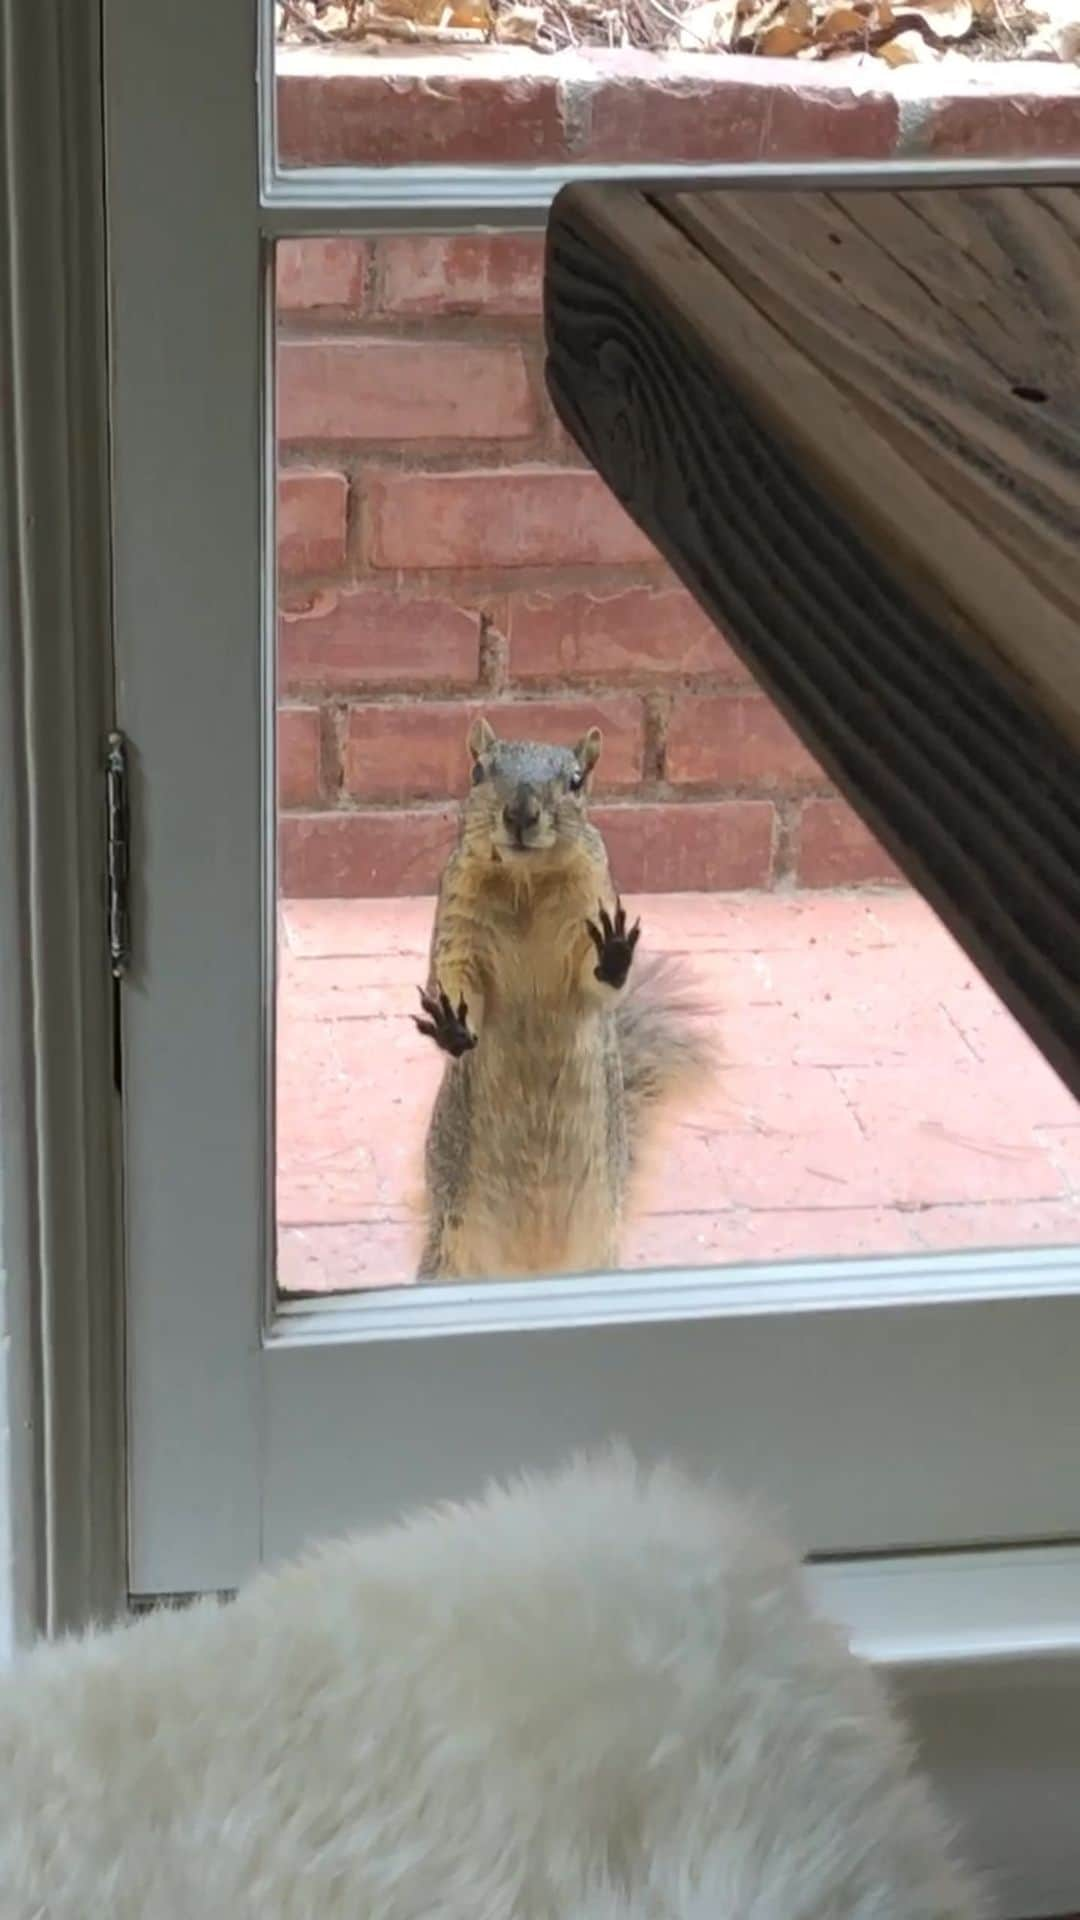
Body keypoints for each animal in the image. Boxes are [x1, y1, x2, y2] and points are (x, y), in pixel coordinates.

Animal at [409, 714, 707, 1282]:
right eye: (479, 770)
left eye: (575, 781)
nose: (521, 814)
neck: (526, 882)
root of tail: (535, 1269)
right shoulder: (458, 923)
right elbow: (454, 978)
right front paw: (452, 1025)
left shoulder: (589, 904)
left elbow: (595, 983)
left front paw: (614, 954)